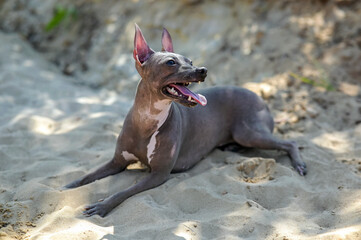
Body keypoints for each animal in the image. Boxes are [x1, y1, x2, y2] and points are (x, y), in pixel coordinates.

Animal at [63, 24, 306, 218]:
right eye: (171, 62)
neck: (147, 121)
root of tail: (258, 96)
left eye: (190, 60)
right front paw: (66, 188)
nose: (203, 70)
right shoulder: (117, 162)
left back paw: (299, 164)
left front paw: (102, 206)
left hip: (248, 132)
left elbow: (123, 191)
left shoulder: (159, 174)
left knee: (290, 142)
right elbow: (86, 177)